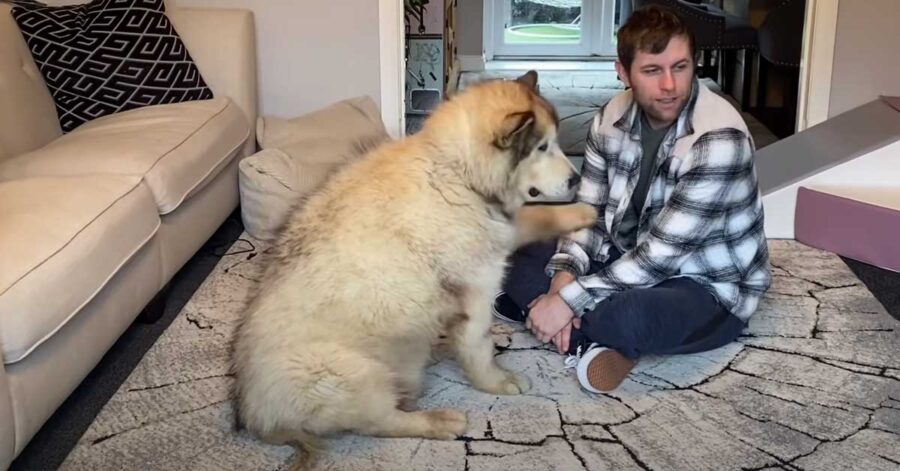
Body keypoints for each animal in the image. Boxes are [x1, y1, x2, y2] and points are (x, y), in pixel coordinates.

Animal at [232, 70, 596, 450]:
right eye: (542, 148)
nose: (575, 178)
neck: (456, 172)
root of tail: (256, 416)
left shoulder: (501, 228)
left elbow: (536, 215)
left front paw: (583, 211)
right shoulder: (478, 288)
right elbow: (478, 345)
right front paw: (495, 381)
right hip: (356, 374)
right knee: (381, 423)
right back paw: (437, 421)